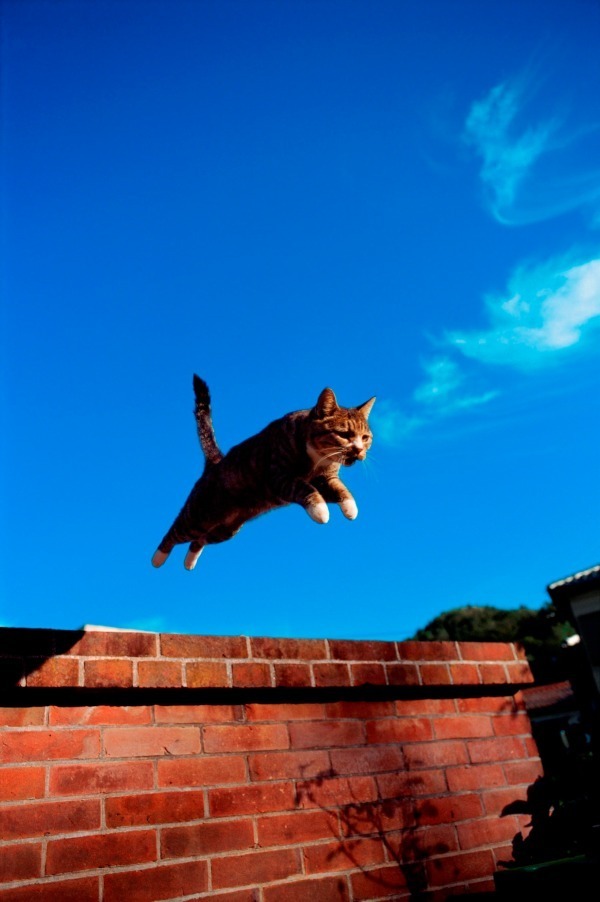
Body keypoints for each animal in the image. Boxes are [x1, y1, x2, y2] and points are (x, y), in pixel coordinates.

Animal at [151, 374, 376, 572]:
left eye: (365, 437)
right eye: (344, 434)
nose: (359, 450)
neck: (317, 458)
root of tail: (215, 462)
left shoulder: (327, 478)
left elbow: (342, 489)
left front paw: (351, 509)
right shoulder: (279, 477)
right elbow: (305, 488)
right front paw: (321, 511)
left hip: (226, 530)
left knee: (199, 541)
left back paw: (189, 563)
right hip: (199, 515)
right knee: (175, 532)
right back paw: (157, 559)